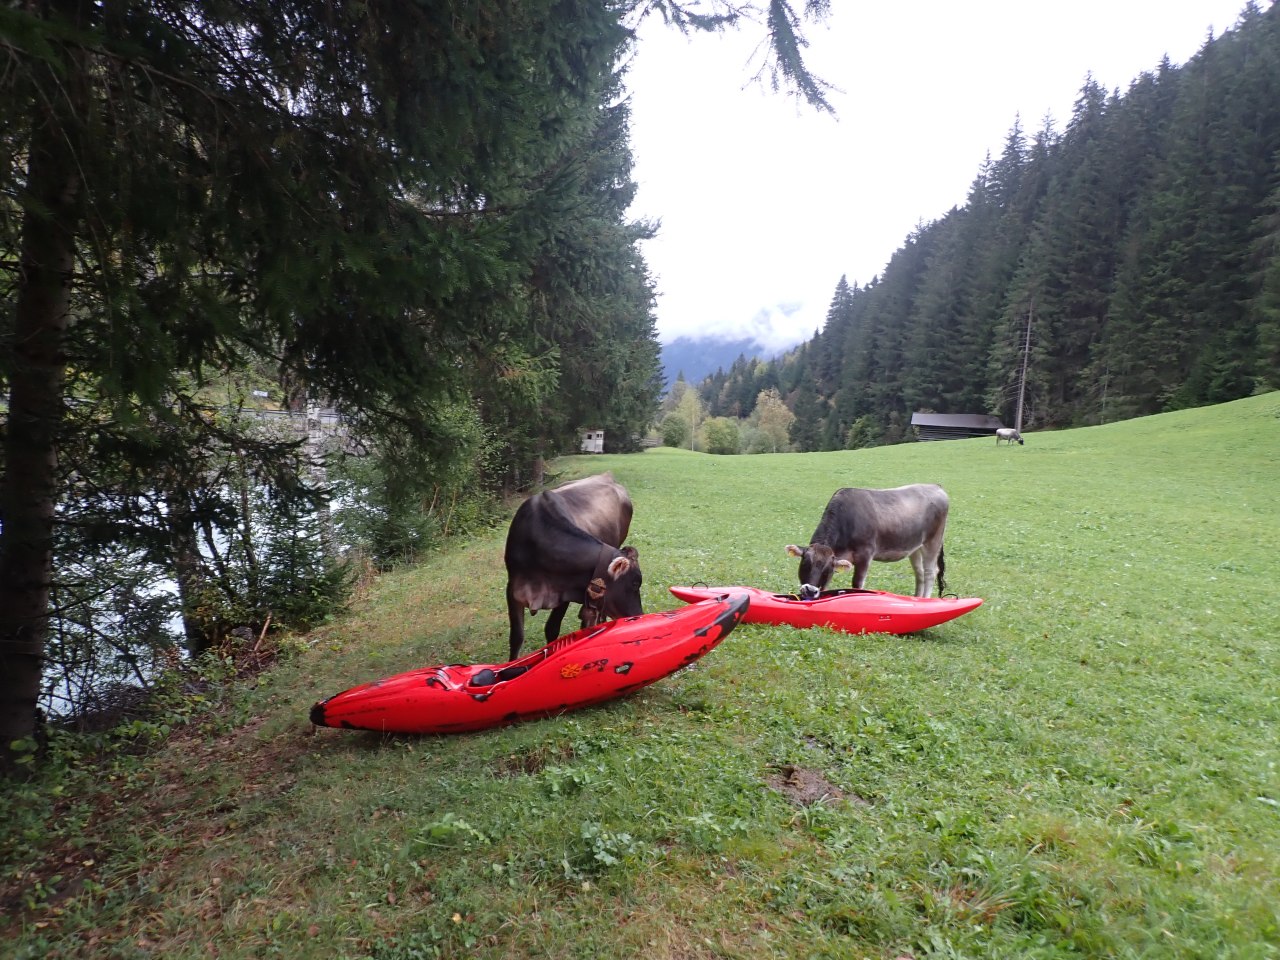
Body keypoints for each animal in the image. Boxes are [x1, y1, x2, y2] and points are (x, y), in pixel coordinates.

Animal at [499, 471, 640, 660]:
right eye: (635, 583)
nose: (639, 616)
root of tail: (606, 475)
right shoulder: (513, 590)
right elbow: (516, 637)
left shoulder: (565, 592)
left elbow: (552, 629)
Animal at [778, 481, 952, 601]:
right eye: (805, 563)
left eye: (827, 569)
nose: (809, 591)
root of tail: (935, 486)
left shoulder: (865, 554)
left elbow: (857, 584)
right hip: (914, 546)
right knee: (919, 573)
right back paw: (916, 599)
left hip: (933, 541)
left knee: (930, 572)